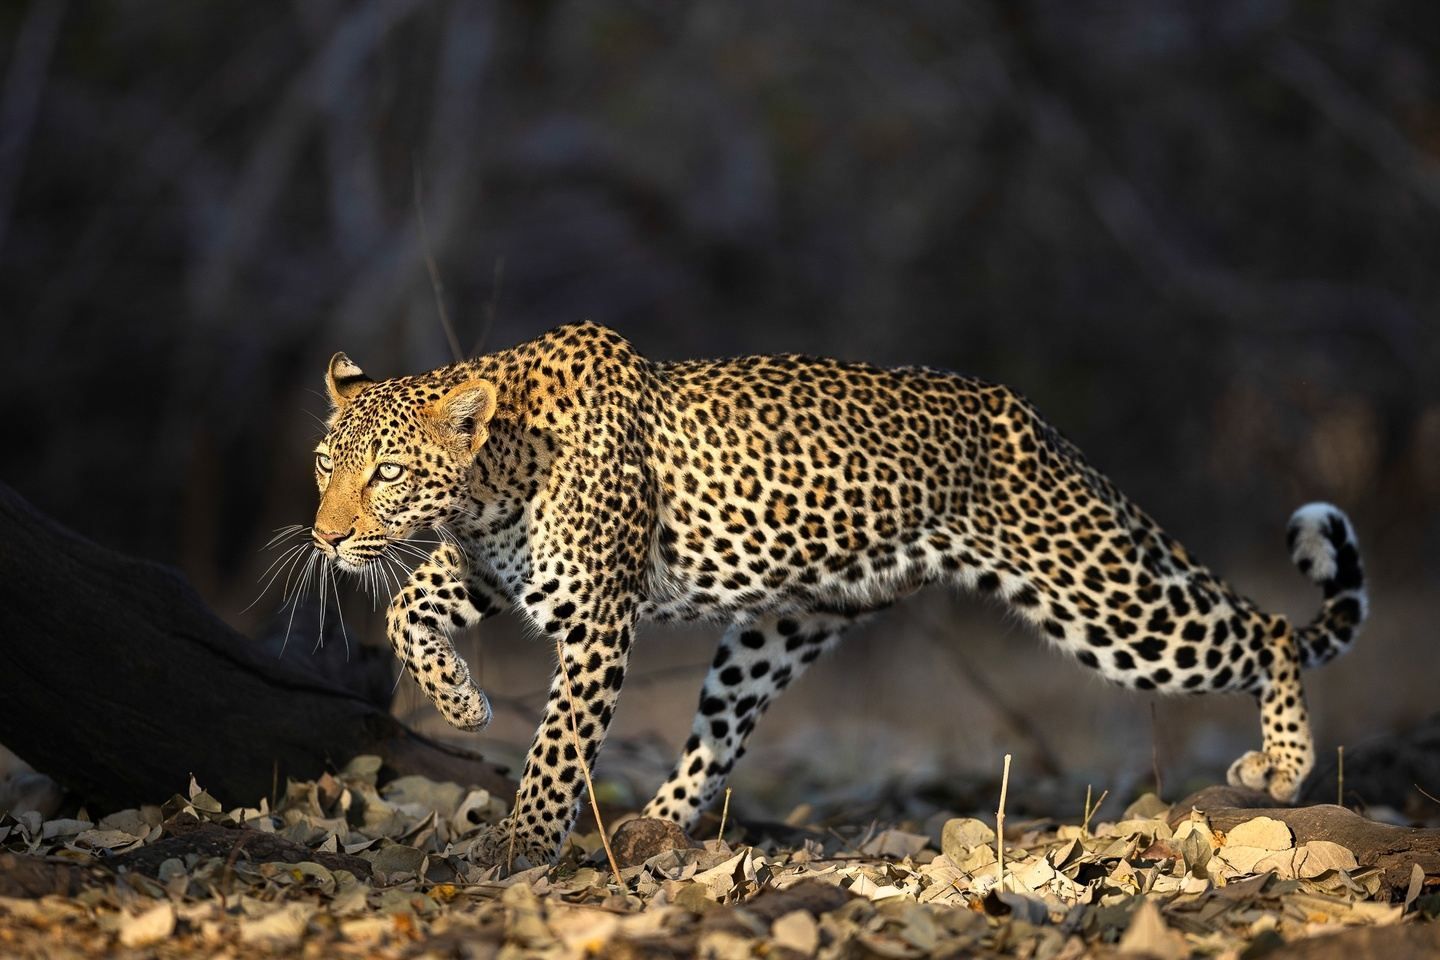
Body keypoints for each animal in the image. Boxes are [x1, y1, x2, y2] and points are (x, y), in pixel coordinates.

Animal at [305, 321, 1366, 866]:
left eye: (387, 473)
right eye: (324, 464)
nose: (324, 535)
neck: (493, 476)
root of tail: (1032, 420)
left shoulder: (597, 618)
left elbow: (559, 749)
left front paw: (521, 846)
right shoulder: (492, 569)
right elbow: (406, 607)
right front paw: (461, 701)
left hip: (1101, 597)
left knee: (1269, 633)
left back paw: (1281, 770)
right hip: (781, 626)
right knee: (719, 737)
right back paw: (660, 822)